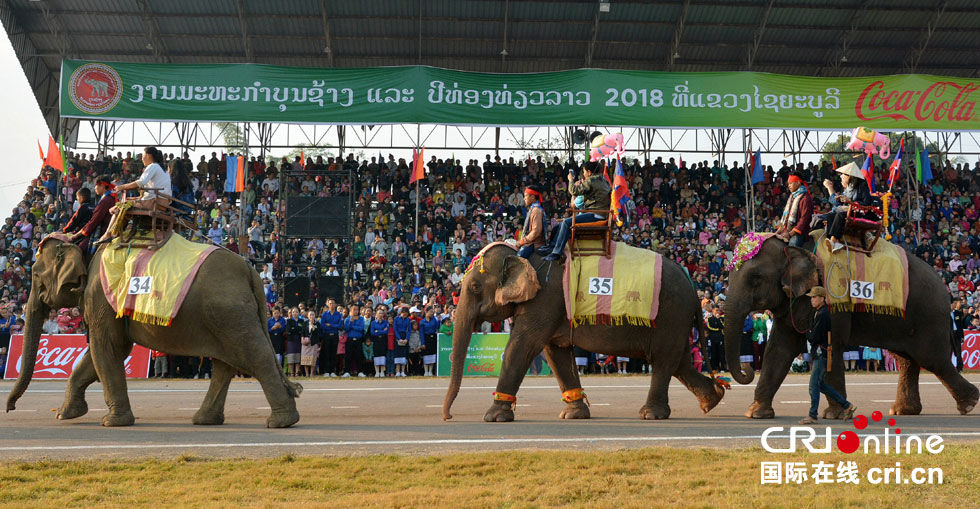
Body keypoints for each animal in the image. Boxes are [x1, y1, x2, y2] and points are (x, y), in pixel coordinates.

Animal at [5, 236, 300, 426]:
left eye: (35, 275)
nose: (9, 408)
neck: (86, 247)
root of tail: (249, 269)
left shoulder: (100, 298)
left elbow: (107, 349)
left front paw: (112, 422)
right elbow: (96, 356)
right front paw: (65, 415)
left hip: (230, 312)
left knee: (254, 356)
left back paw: (281, 422)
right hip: (224, 316)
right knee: (224, 364)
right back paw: (204, 420)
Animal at [440, 244, 724, 422]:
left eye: (475, 287)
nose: (448, 417)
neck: (523, 253)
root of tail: (691, 284)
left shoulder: (545, 299)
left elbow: (523, 346)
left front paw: (494, 417)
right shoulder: (553, 307)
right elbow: (555, 352)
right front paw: (573, 415)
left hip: (670, 314)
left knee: (664, 360)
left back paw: (652, 414)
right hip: (676, 320)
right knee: (679, 361)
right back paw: (712, 399)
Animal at [724, 236, 976, 418]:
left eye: (755, 278)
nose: (747, 369)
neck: (792, 247)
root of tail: (945, 287)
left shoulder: (833, 300)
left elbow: (831, 343)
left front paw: (834, 415)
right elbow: (779, 349)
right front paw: (755, 413)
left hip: (928, 317)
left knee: (932, 360)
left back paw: (969, 404)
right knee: (907, 360)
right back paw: (903, 411)